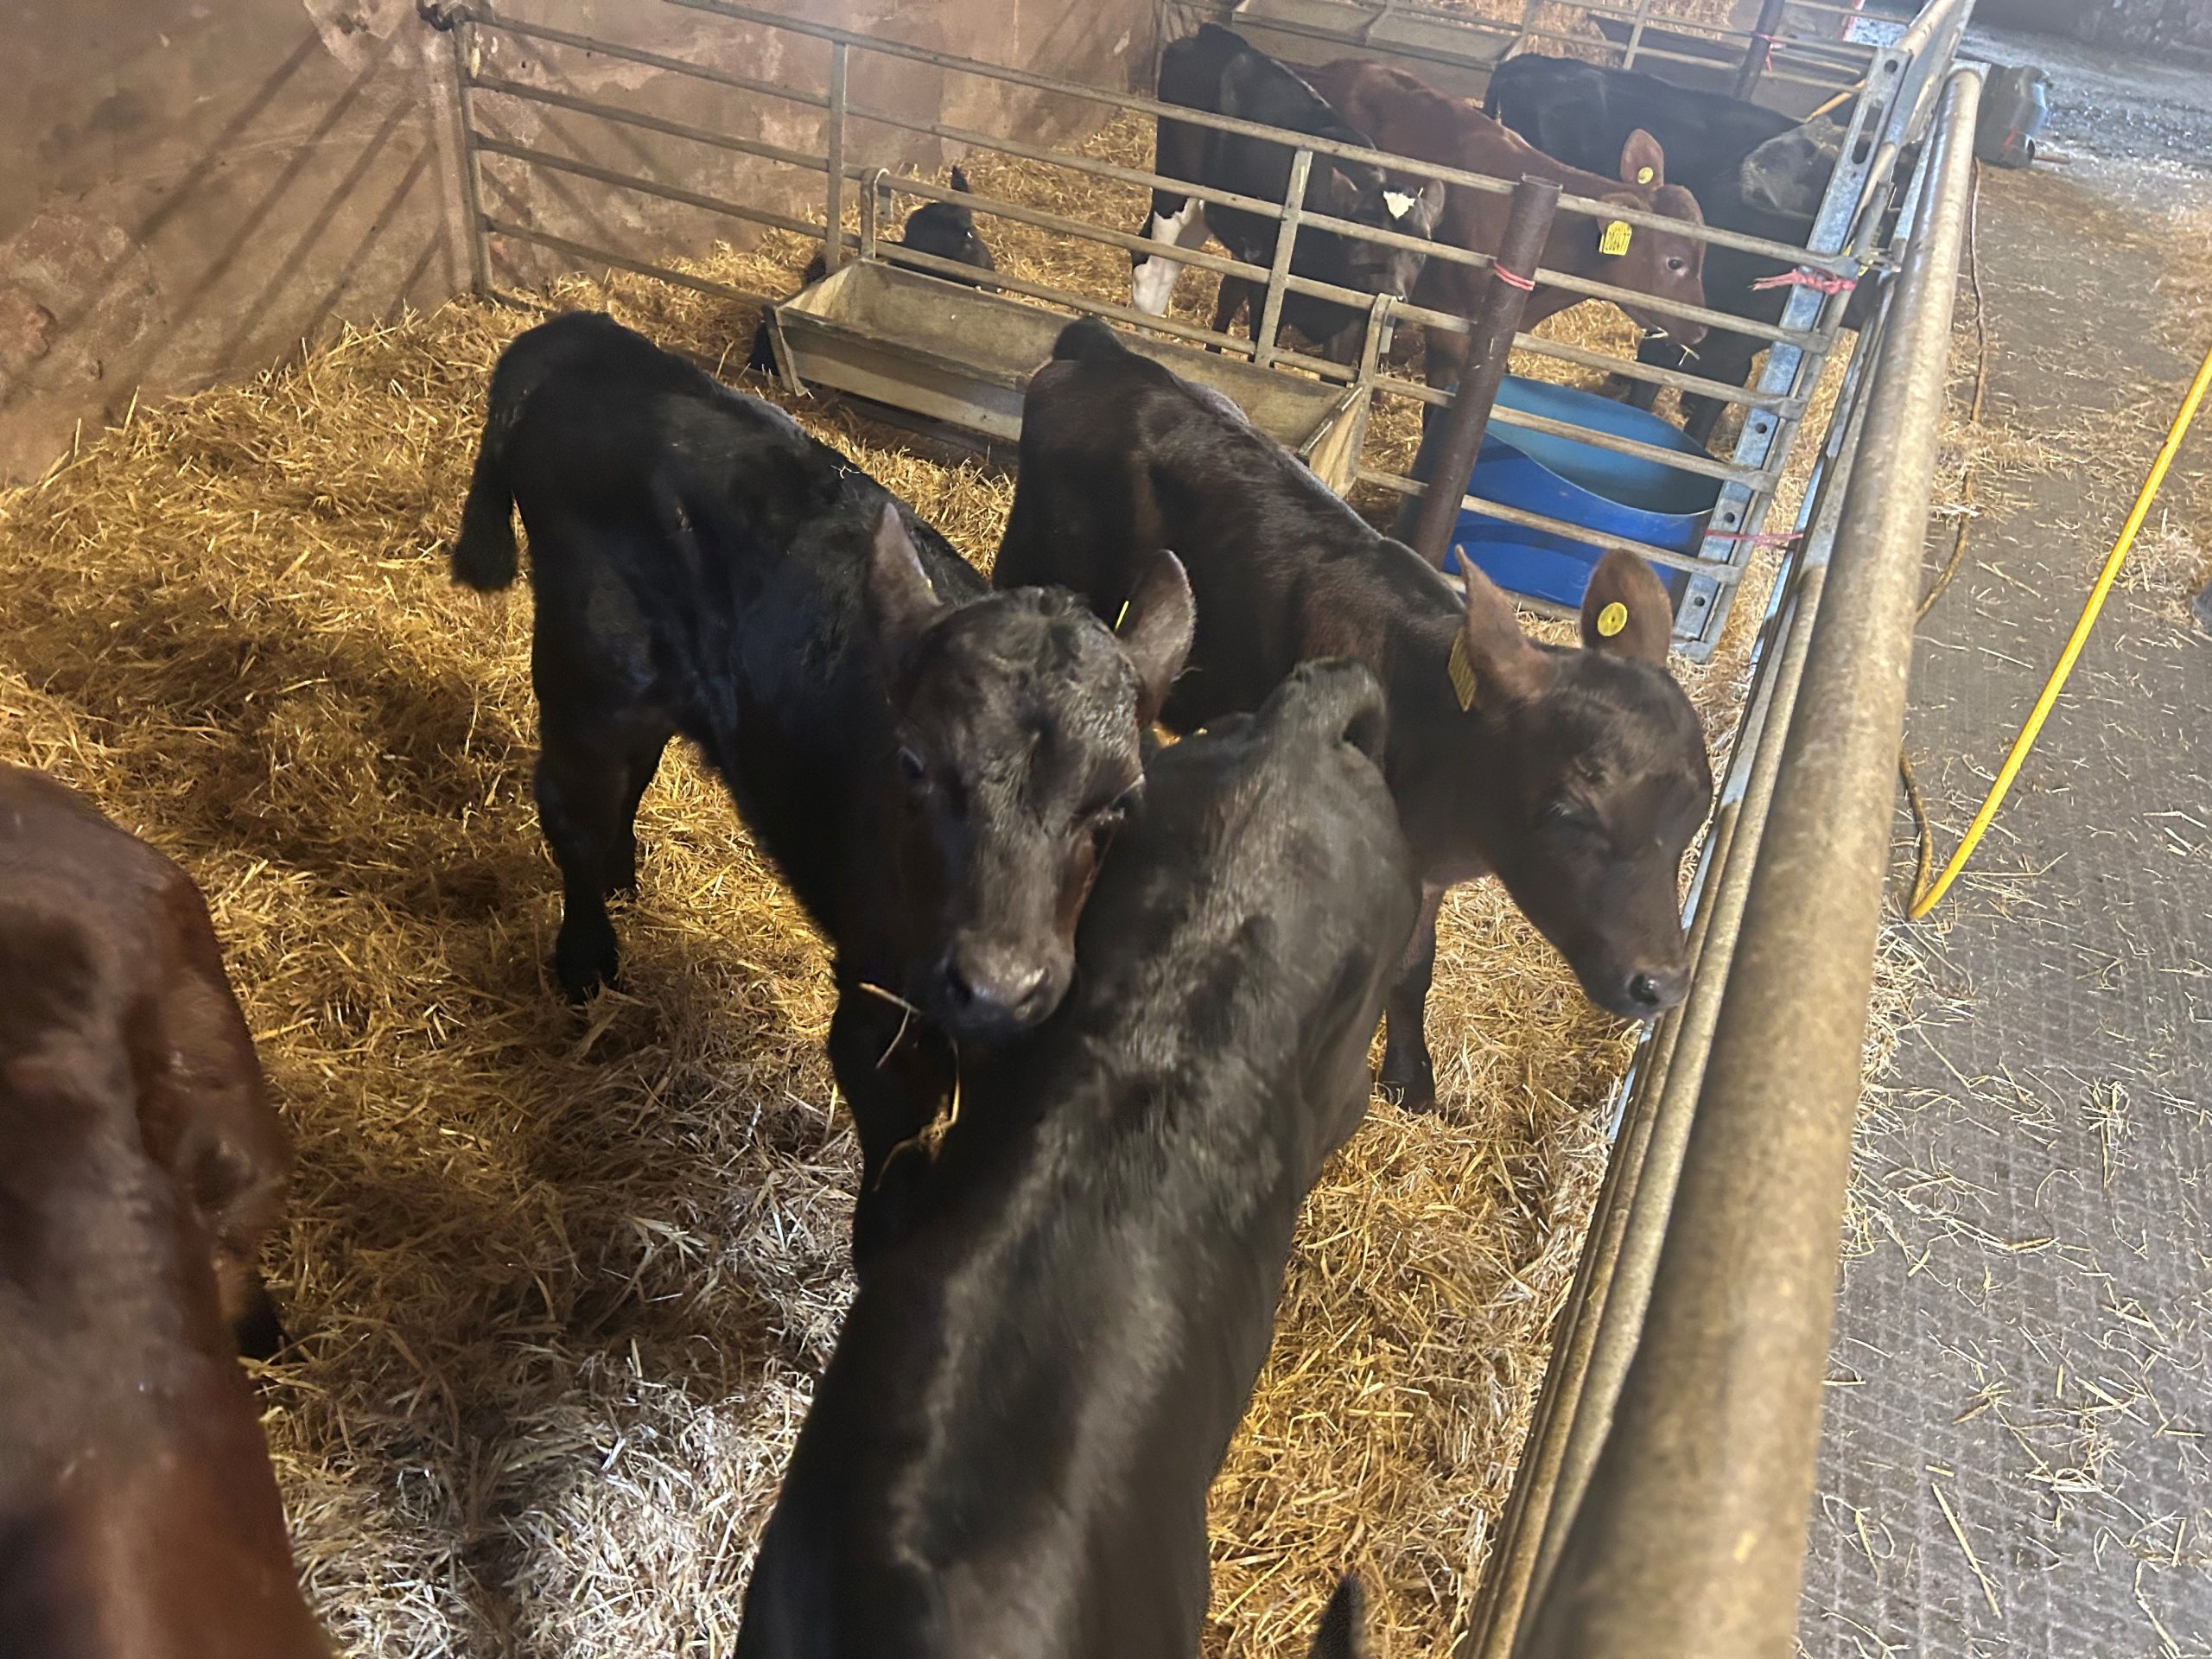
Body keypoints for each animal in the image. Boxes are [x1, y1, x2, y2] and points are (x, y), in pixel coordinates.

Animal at [451, 312, 1193, 1216]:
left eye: (1119, 802)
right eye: (912, 764)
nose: (998, 984)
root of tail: (595, 341)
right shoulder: (877, 1012)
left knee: (630, 780)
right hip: (589, 675)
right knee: (572, 808)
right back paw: (586, 958)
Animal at [997, 320, 1712, 1112]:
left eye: (1696, 815)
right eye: (1568, 812)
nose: (1661, 983)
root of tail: (1110, 354)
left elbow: (1413, 967)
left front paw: (1411, 1075)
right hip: (1033, 551)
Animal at [1131, 24, 1444, 364]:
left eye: (1422, 249)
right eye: (1358, 237)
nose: (1392, 296)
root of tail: (1216, 36)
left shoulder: (1344, 322)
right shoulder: (1267, 296)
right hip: (1175, 193)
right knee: (1153, 276)